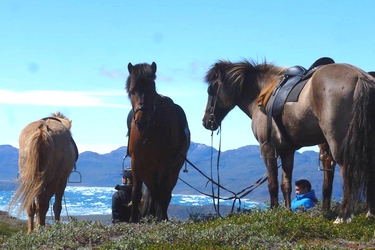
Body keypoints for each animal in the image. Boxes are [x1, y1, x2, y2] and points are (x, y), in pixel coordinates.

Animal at [126, 61, 191, 222]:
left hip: (173, 169)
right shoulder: (136, 162)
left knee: (165, 193)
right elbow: (136, 192)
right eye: (132, 91)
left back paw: (161, 216)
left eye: (152, 90)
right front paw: (133, 219)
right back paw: (150, 217)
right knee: (153, 192)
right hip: (149, 171)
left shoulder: (165, 163)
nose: (141, 121)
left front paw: (162, 218)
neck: (149, 131)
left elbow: (163, 192)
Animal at [204, 60, 375, 223]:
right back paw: (370, 213)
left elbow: (272, 184)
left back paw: (343, 216)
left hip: (338, 142)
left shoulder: (268, 149)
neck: (261, 93)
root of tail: (361, 76)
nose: (206, 121)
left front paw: (273, 211)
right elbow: (286, 184)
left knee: (347, 171)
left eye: (211, 90)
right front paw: (287, 211)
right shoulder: (287, 151)